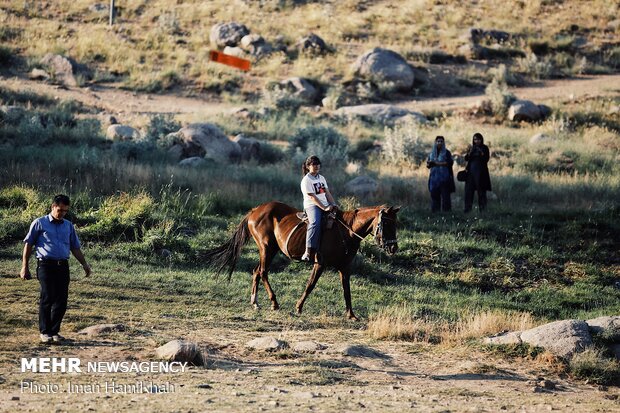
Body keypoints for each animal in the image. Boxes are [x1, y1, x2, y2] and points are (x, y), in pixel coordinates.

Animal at [201, 200, 400, 318]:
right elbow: (310, 285)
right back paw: (274, 303)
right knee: (263, 272)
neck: (346, 231)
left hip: (269, 250)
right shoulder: (320, 264)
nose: (393, 248)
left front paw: (351, 314)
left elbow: (347, 290)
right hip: (267, 248)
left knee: (256, 271)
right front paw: (298, 307)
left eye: (395, 223)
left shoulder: (345, 267)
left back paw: (255, 303)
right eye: (386, 223)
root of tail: (255, 210)